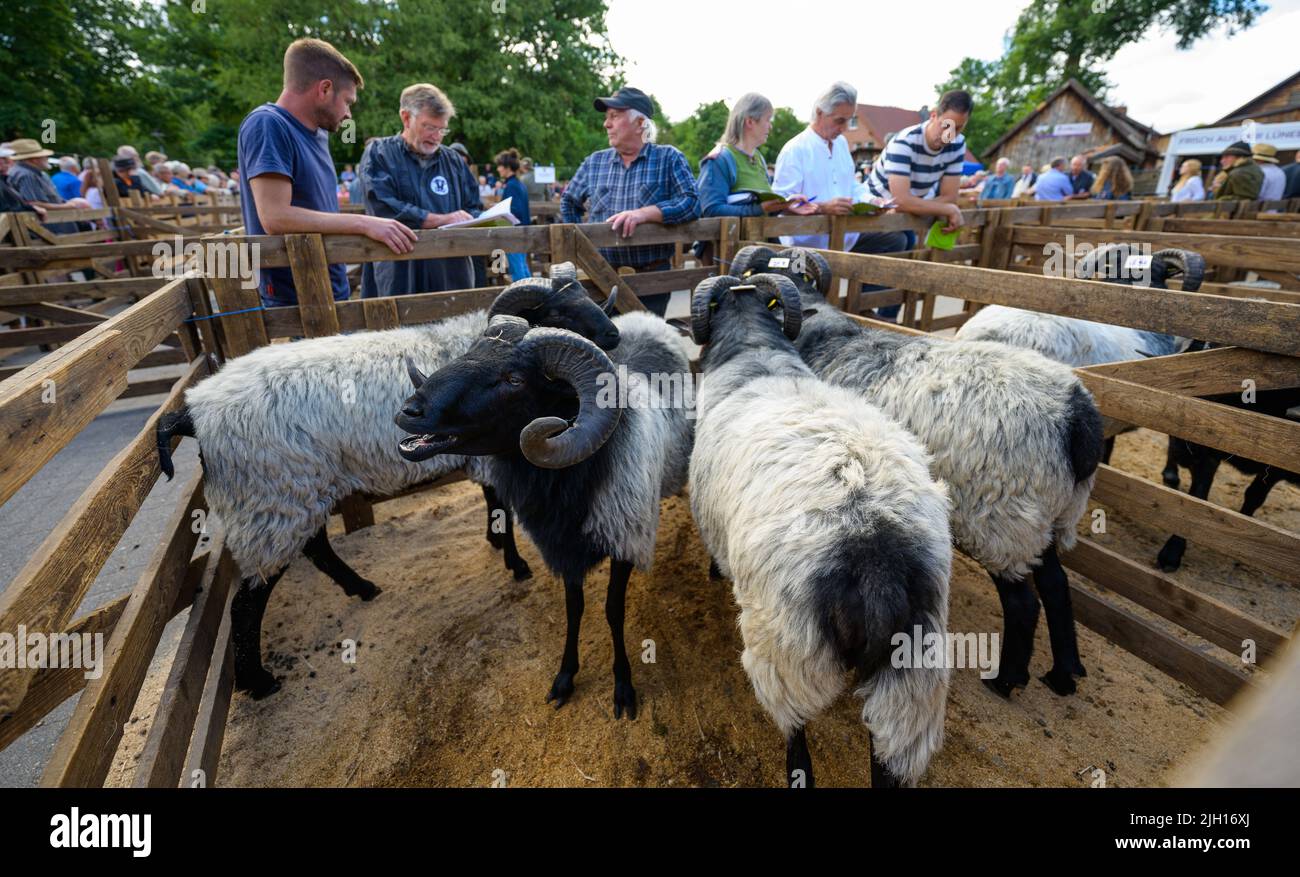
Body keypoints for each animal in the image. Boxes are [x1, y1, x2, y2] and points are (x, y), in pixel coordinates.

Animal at [686, 274, 951, 789]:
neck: (755, 354)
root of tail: (874, 551)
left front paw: (711, 572)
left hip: (787, 649)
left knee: (797, 743)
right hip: (913, 670)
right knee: (889, 757)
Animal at [733, 245, 1097, 701]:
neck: (822, 336)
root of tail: (1077, 417)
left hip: (1002, 519)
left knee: (1023, 602)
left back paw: (1005, 680)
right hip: (1050, 514)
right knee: (1057, 585)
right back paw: (1064, 674)